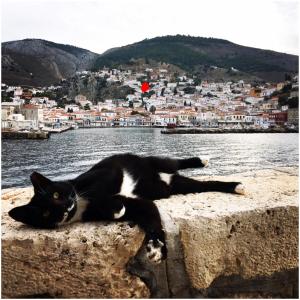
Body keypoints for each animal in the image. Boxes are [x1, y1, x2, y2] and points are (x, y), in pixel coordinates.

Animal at [8, 154, 244, 264]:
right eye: (46, 213)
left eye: (56, 195)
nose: (66, 207)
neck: (81, 206)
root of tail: (165, 177)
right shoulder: (139, 204)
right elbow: (150, 217)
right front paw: (157, 248)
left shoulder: (106, 174)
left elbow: (100, 192)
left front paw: (113, 206)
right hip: (179, 185)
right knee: (206, 184)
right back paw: (235, 186)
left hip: (157, 163)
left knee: (174, 162)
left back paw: (201, 160)